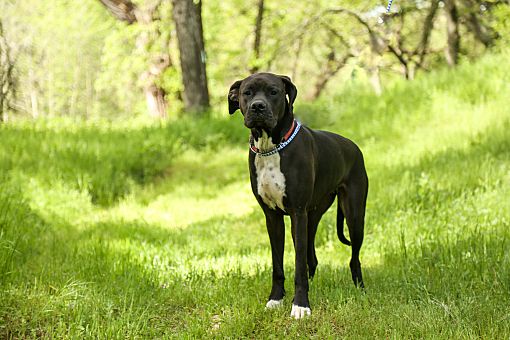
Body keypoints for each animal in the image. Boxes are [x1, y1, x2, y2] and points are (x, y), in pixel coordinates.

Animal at [227, 72, 366, 318]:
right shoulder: (273, 217)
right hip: (313, 217)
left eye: (273, 91)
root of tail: (353, 146)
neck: (271, 147)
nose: (258, 107)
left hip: (354, 217)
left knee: (353, 258)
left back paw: (360, 288)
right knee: (312, 256)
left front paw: (300, 305)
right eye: (247, 93)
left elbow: (298, 264)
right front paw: (275, 299)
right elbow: (278, 264)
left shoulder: (297, 214)